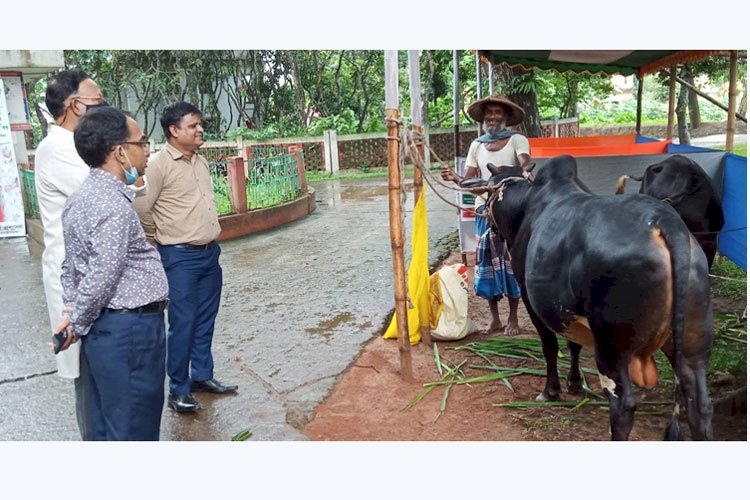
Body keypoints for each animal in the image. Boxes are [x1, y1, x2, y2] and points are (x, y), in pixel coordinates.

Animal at [470, 156, 716, 442]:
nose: (487, 221)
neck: (527, 203)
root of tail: (665, 223)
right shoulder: (569, 311)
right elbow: (573, 345)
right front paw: (574, 383)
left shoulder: (532, 299)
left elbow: (549, 346)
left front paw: (551, 390)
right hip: (692, 344)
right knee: (699, 405)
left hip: (612, 346)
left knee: (622, 404)